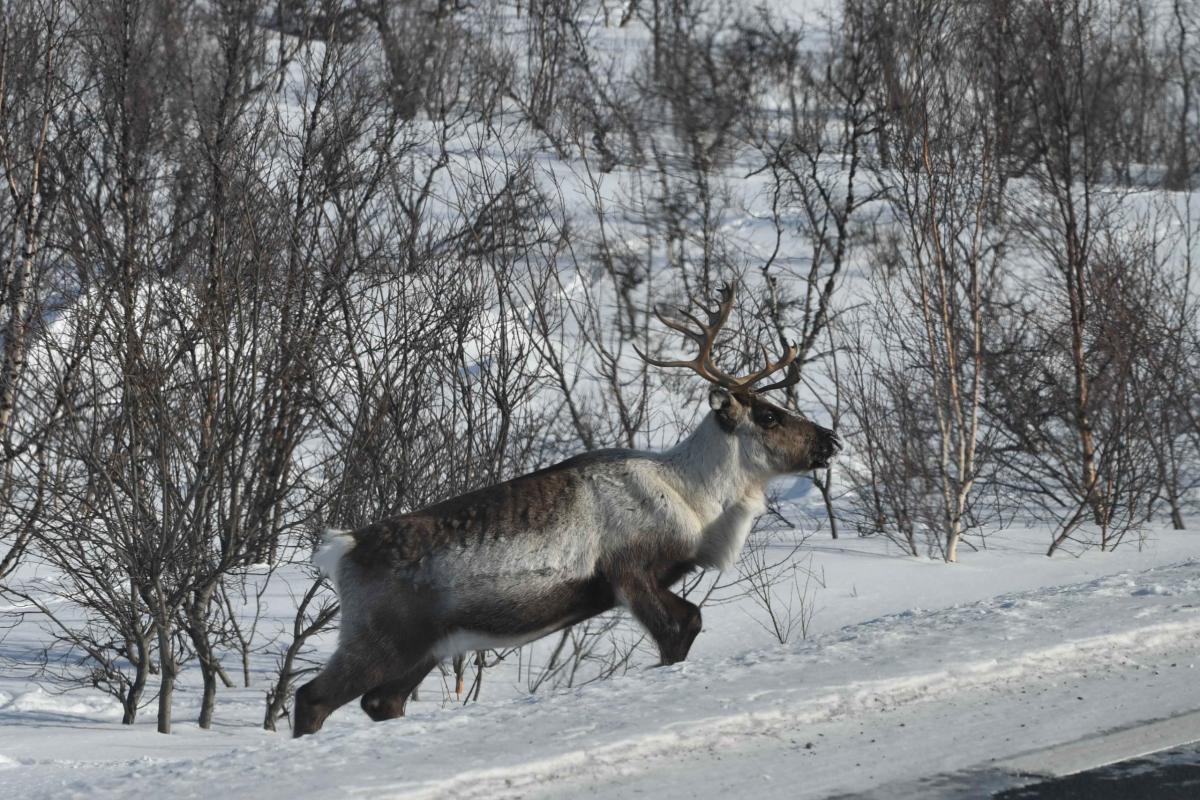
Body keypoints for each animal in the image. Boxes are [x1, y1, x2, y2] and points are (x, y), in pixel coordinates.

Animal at [293, 286, 841, 737]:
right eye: (768, 415)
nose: (830, 440)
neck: (693, 496)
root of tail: (341, 550)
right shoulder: (630, 574)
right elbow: (683, 626)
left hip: (424, 649)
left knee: (381, 702)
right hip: (379, 638)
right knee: (311, 696)